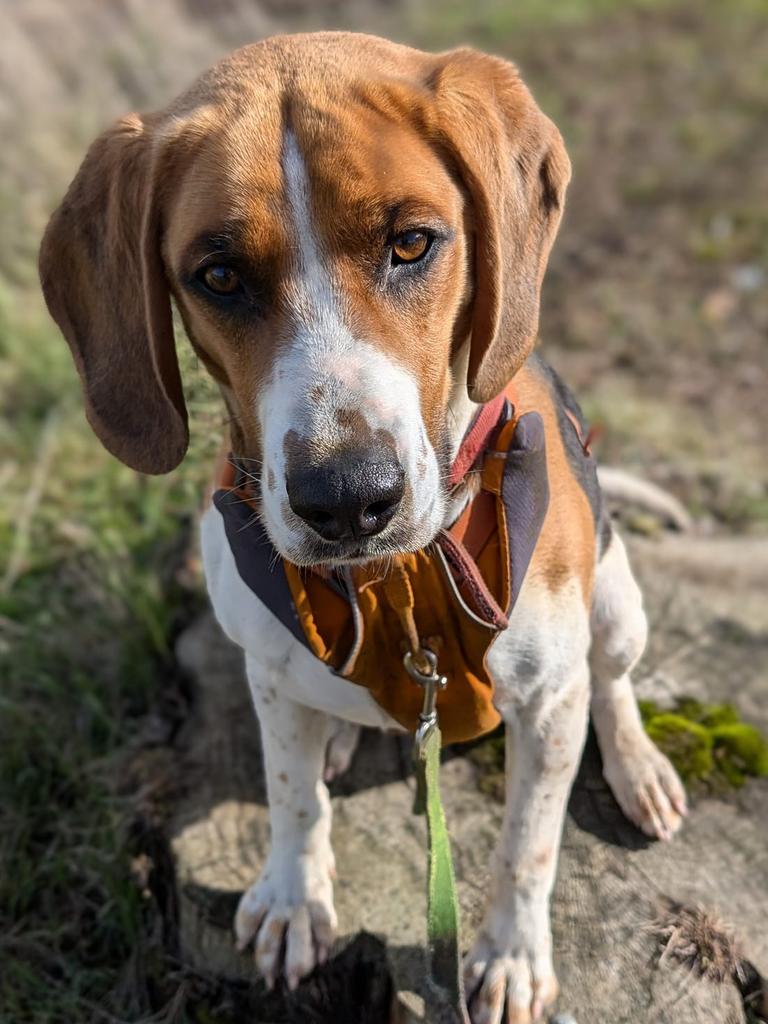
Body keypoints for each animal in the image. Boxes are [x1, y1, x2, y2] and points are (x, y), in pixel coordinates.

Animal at [39, 32, 688, 1024]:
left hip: (615, 610)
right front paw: (294, 896)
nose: (348, 500)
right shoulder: (267, 672)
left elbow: (527, 843)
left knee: (612, 684)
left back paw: (637, 765)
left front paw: (510, 953)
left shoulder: (548, 703)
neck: (402, 584)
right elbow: (291, 795)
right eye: (218, 275)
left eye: (411, 243)